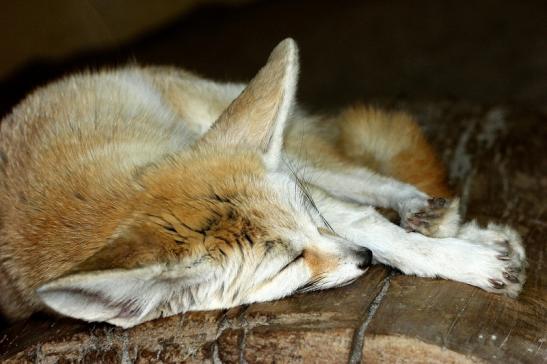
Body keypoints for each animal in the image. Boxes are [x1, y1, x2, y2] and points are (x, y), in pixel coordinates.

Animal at [0, 39, 528, 328]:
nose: (363, 260)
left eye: (311, 221)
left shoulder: (315, 203)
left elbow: (377, 227)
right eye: (288, 264)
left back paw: (434, 216)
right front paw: (469, 257)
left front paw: (467, 259)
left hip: (253, 141)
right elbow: (375, 230)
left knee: (370, 183)